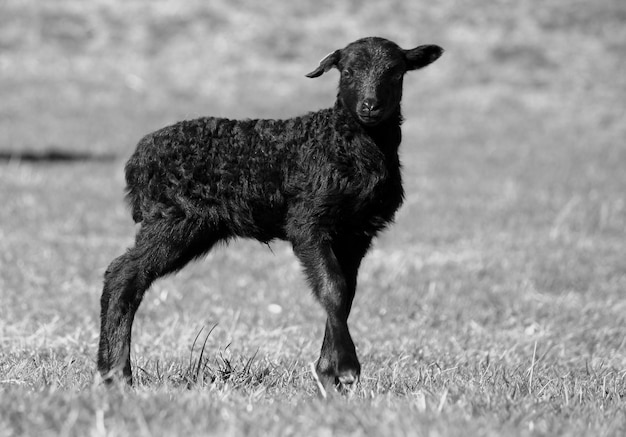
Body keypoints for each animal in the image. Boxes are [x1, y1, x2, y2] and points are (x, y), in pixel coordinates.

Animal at [97, 36, 442, 392]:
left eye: (396, 72)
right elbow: (332, 289)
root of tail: (137, 160)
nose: (370, 106)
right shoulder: (308, 221)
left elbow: (345, 295)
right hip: (175, 218)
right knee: (123, 274)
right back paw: (118, 374)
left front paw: (328, 374)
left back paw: (110, 371)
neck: (345, 146)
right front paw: (345, 368)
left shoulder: (356, 234)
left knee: (125, 275)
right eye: (347, 71)